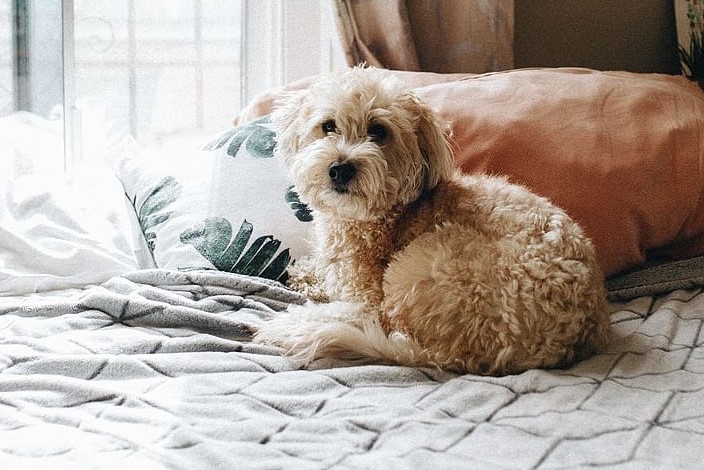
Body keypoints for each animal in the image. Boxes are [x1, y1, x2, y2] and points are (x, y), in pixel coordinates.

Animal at [254, 67, 612, 374]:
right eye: (328, 126)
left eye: (378, 131)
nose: (340, 168)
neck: (386, 214)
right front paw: (305, 274)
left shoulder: (364, 296)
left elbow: (347, 302)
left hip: (414, 268)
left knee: (386, 321)